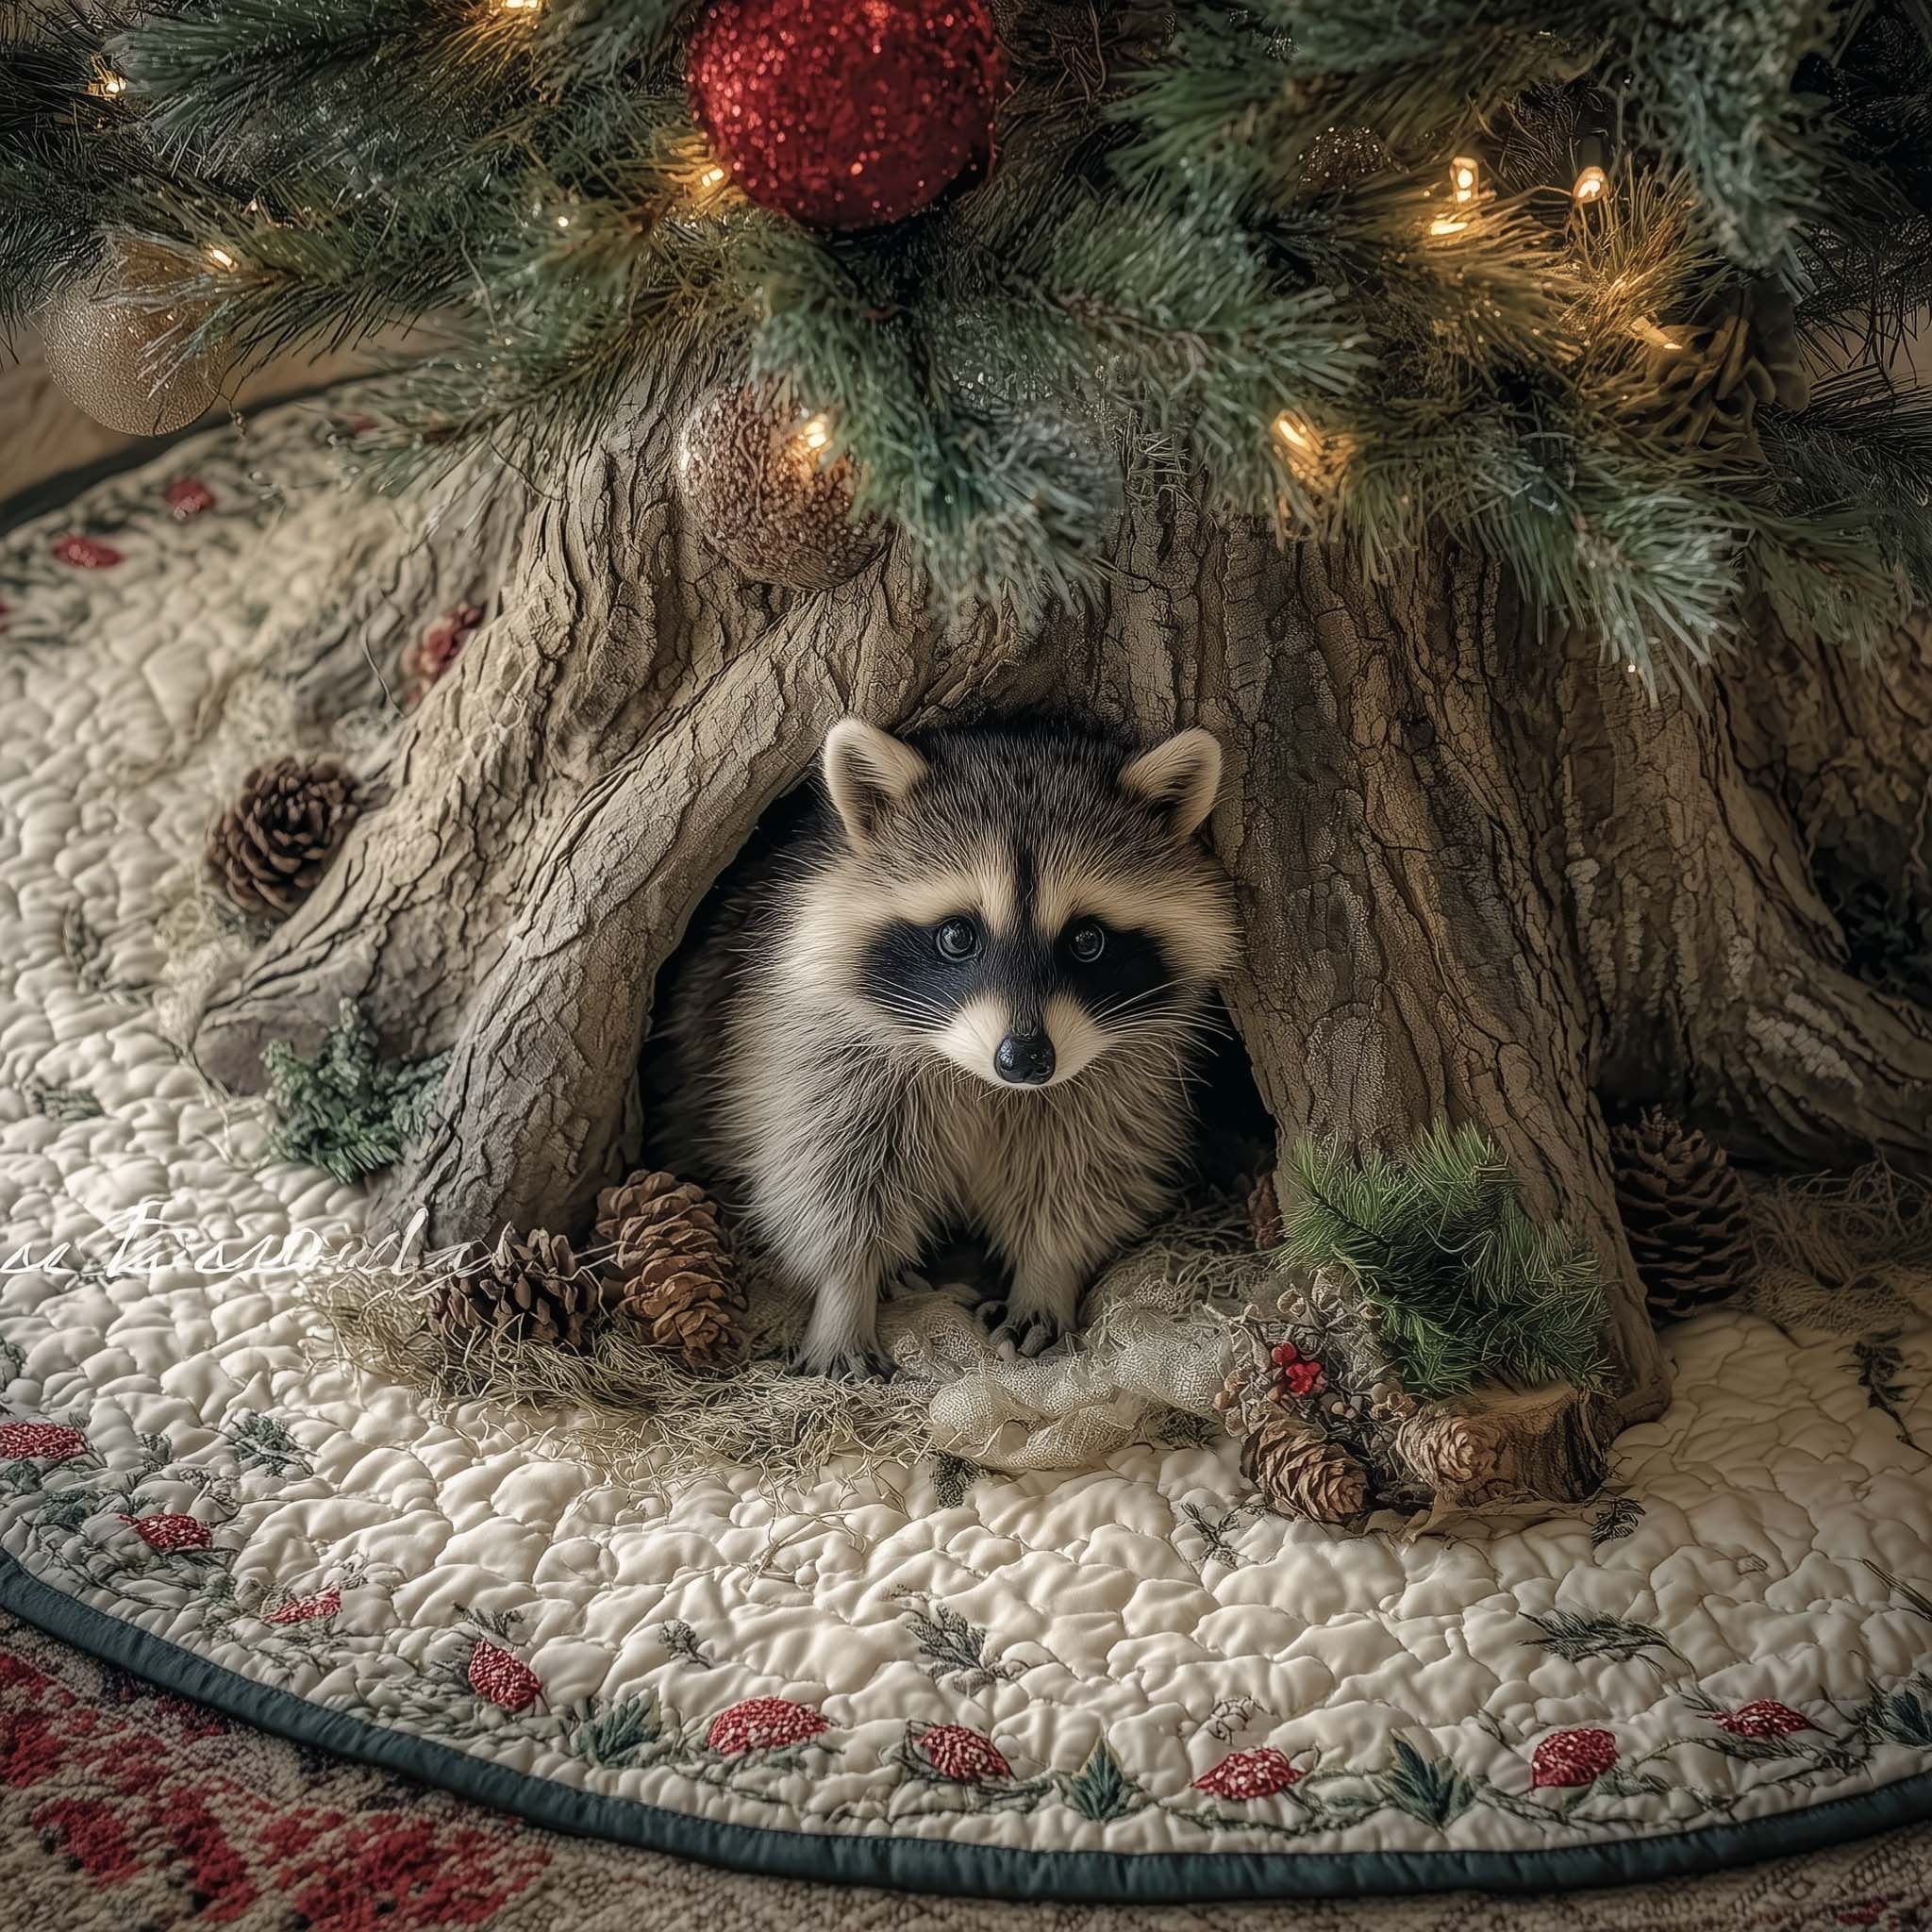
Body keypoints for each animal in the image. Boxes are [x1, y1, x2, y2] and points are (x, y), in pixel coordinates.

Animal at [656, 717, 1240, 1376]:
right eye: (958, 936)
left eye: (1087, 941)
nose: (1025, 1060)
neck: (983, 1081)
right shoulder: (809, 1042)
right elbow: (823, 1175)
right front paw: (844, 1294)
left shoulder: (1121, 1077)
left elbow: (1085, 1172)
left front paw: (1047, 1274)